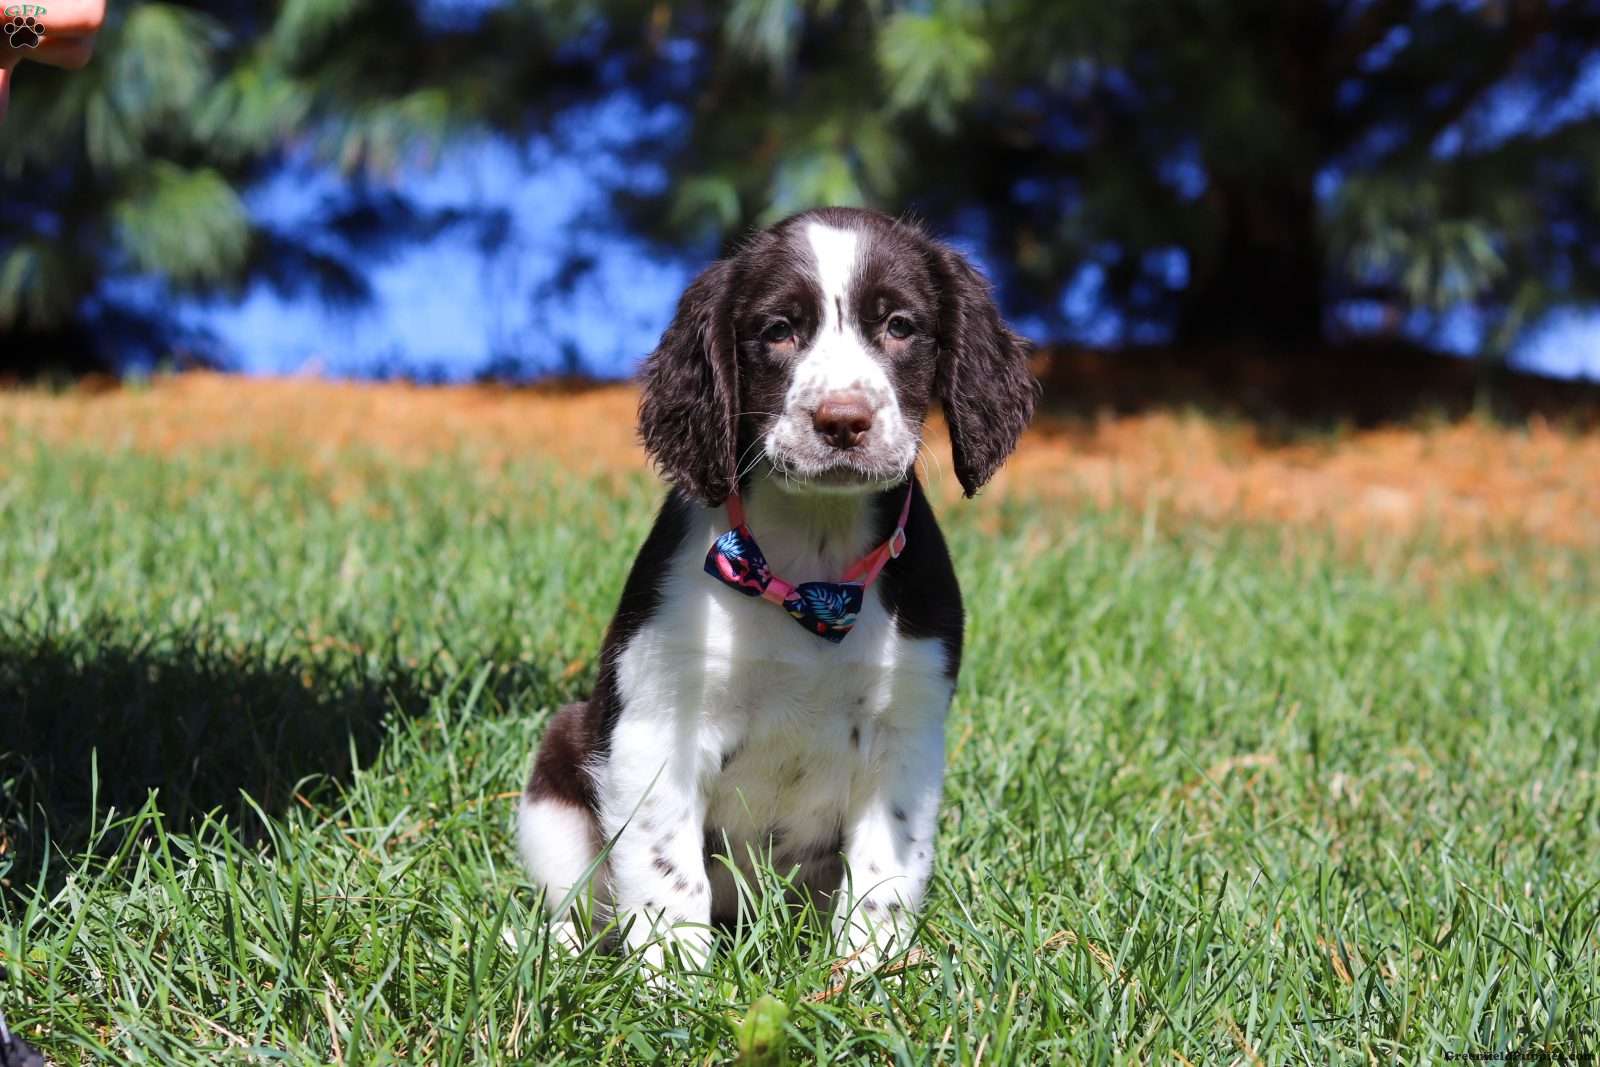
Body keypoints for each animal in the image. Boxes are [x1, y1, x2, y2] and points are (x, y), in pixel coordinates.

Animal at [517, 206, 1036, 971]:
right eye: (778, 329)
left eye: (900, 325)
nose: (843, 420)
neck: (810, 572)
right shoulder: (657, 722)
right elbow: (667, 873)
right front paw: (674, 984)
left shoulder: (906, 734)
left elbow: (882, 874)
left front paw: (864, 976)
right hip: (557, 769)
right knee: (577, 902)